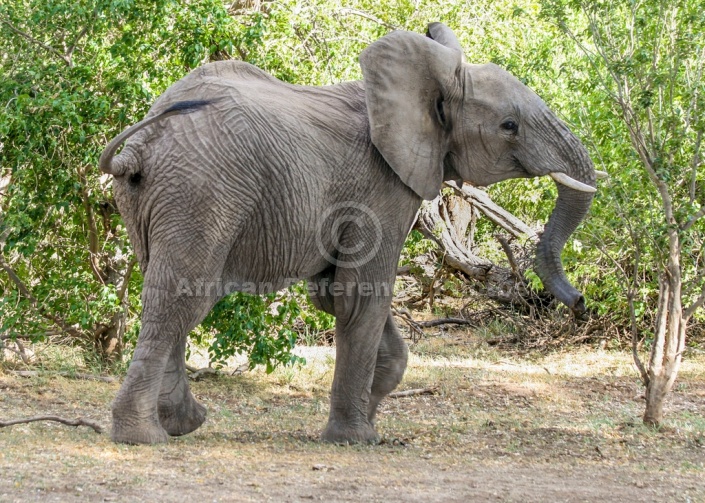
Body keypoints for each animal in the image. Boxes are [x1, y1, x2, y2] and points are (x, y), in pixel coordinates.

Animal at [96, 22, 596, 444]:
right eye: (509, 126)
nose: (579, 303)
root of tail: (140, 146)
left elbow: (339, 296)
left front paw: (368, 423)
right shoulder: (383, 186)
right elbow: (360, 296)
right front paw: (356, 439)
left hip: (157, 200)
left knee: (169, 289)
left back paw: (185, 423)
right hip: (203, 192)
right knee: (182, 298)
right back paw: (144, 437)